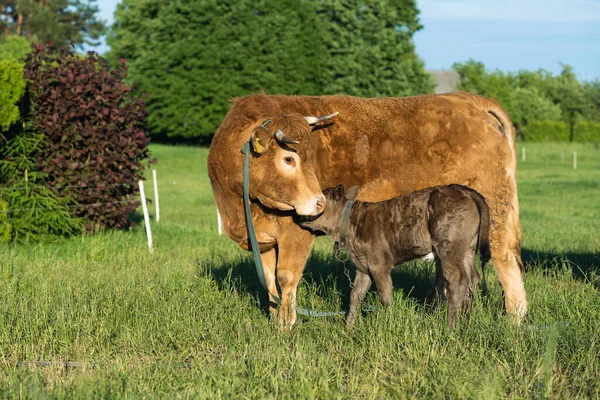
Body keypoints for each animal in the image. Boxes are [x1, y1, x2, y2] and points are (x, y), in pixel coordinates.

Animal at [298, 184, 490, 328]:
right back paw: (465, 322)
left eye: (318, 201)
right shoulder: (363, 267)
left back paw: (450, 327)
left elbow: (385, 296)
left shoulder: (379, 265)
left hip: (449, 248)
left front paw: (388, 322)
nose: (297, 213)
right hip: (466, 250)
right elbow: (355, 296)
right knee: (472, 279)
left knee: (457, 280)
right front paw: (348, 327)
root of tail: (463, 190)